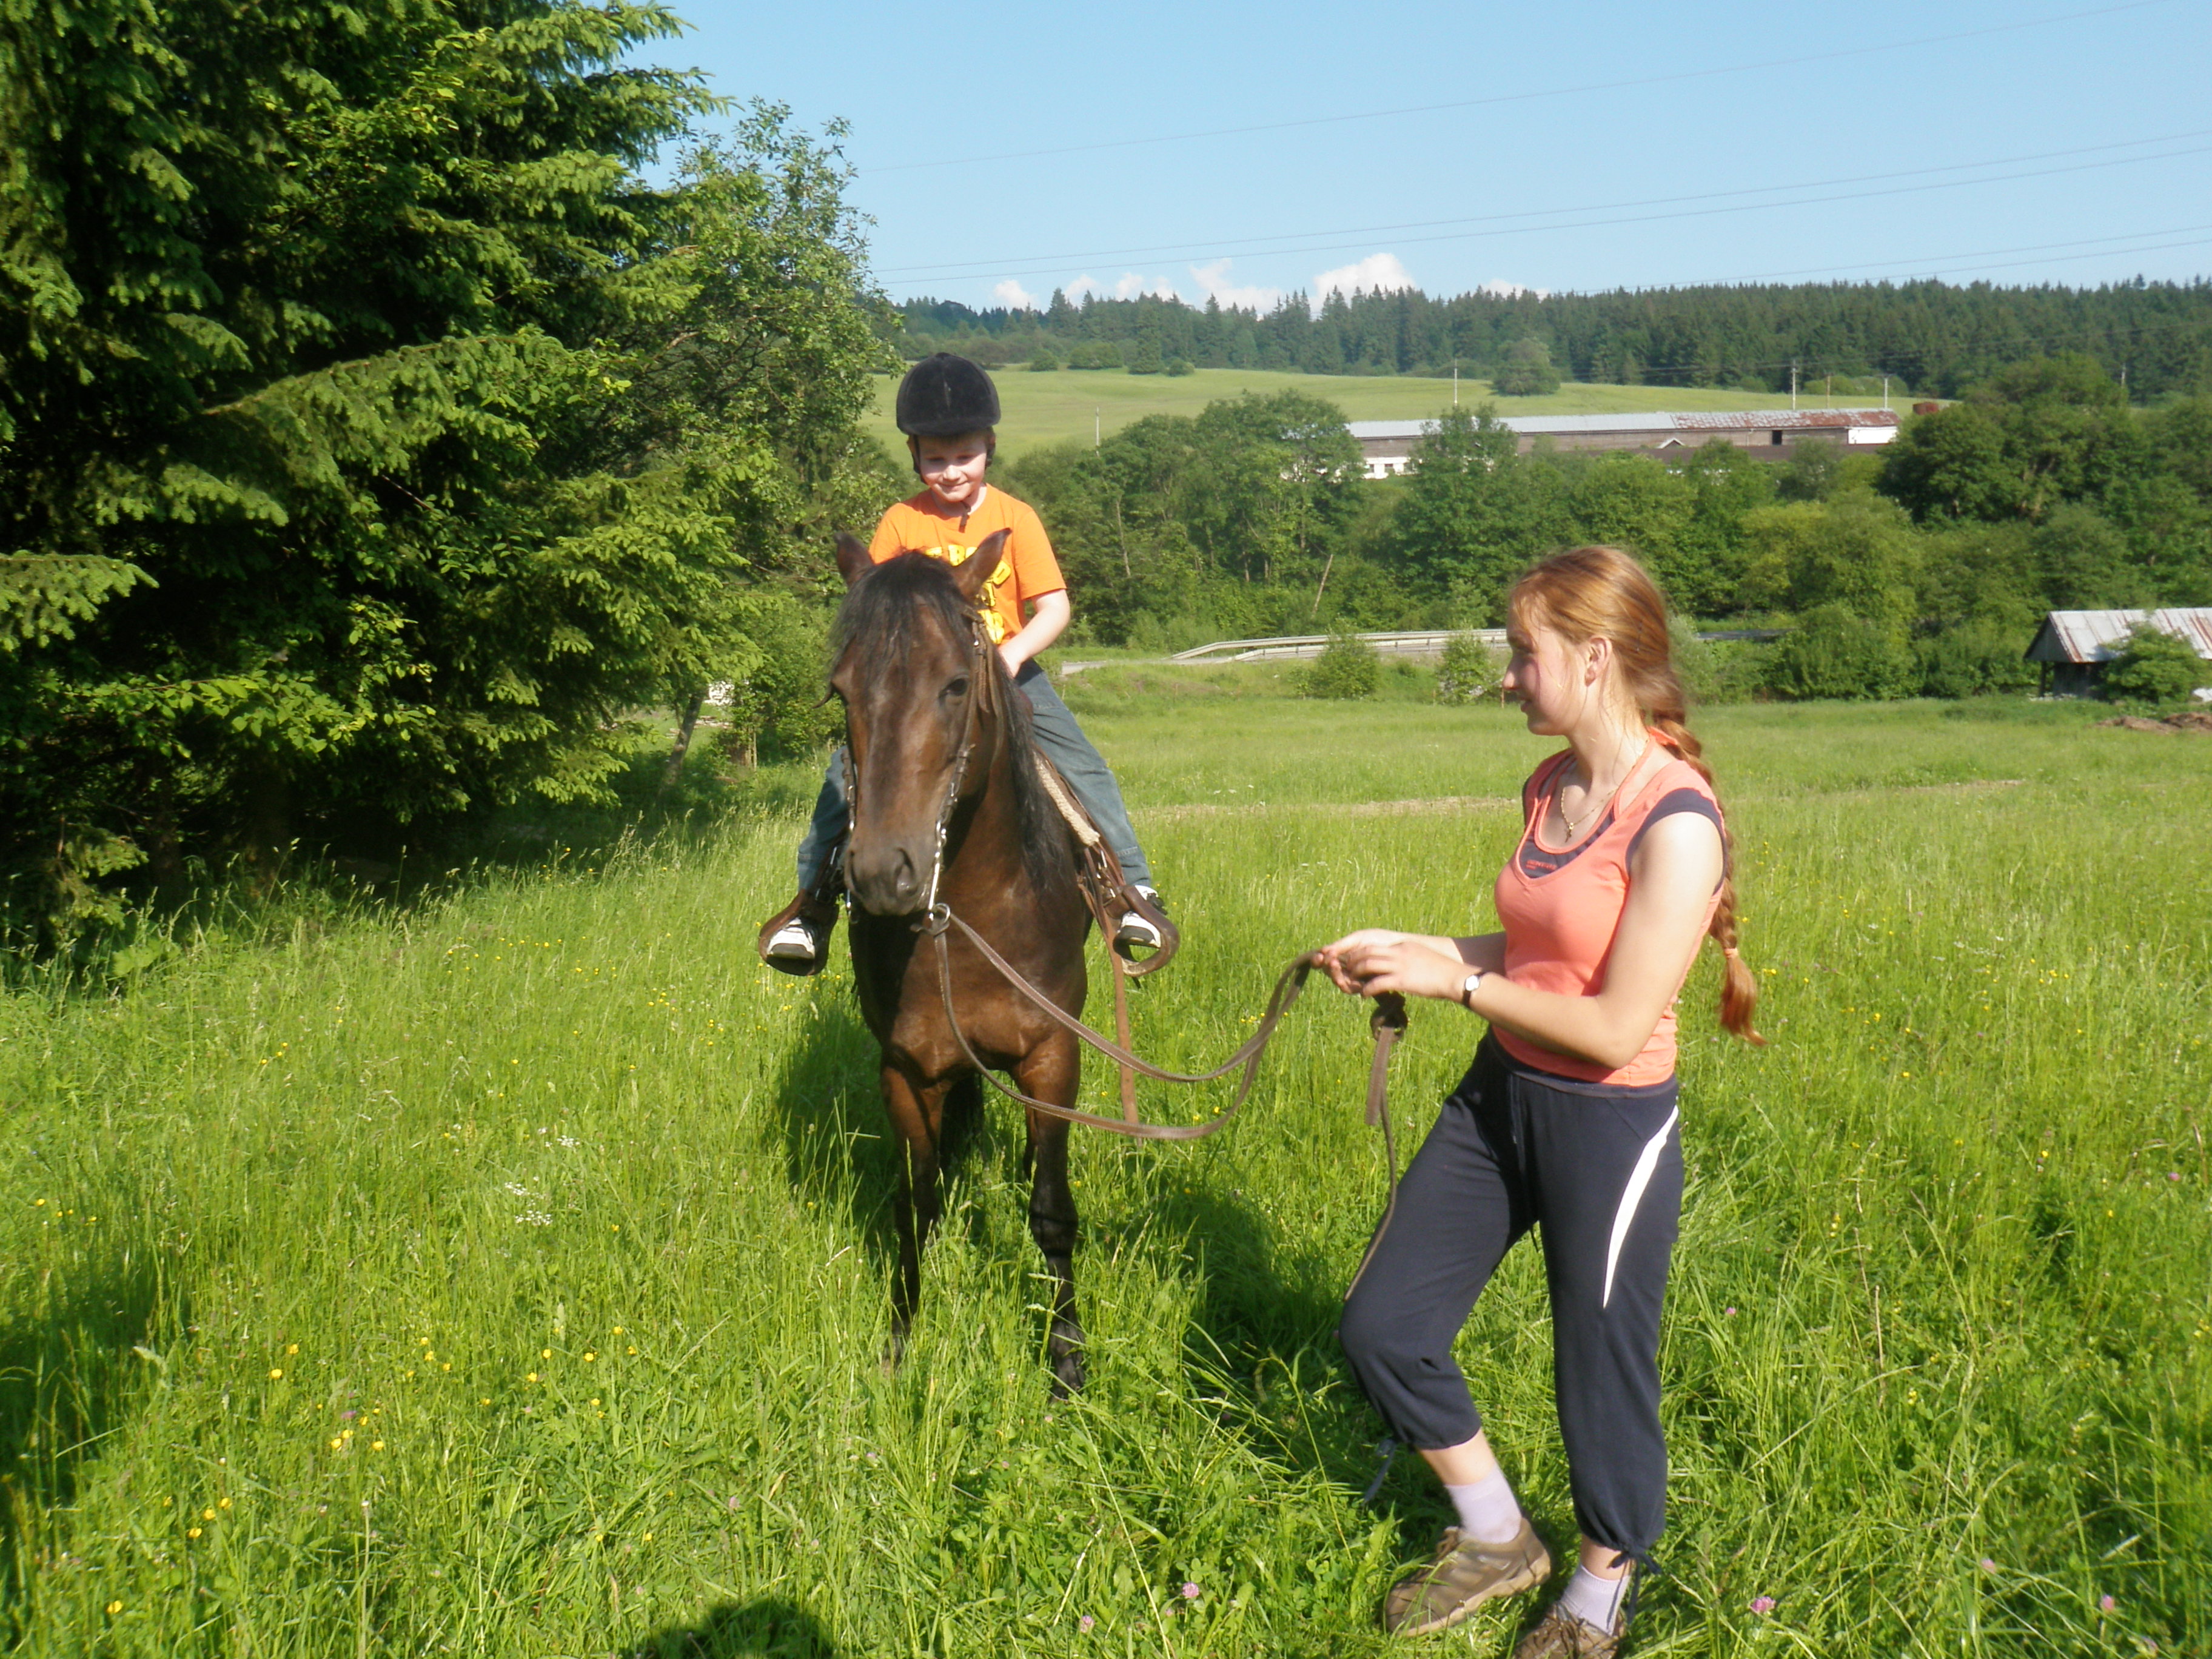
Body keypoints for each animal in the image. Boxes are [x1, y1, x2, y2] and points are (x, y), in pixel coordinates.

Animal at [828, 530, 1093, 1394]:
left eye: (953, 685)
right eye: (839, 693)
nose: (885, 873)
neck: (969, 917)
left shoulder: (1054, 1054)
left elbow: (1051, 1210)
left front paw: (1066, 1358)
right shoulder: (906, 1069)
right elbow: (916, 1203)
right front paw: (900, 1342)